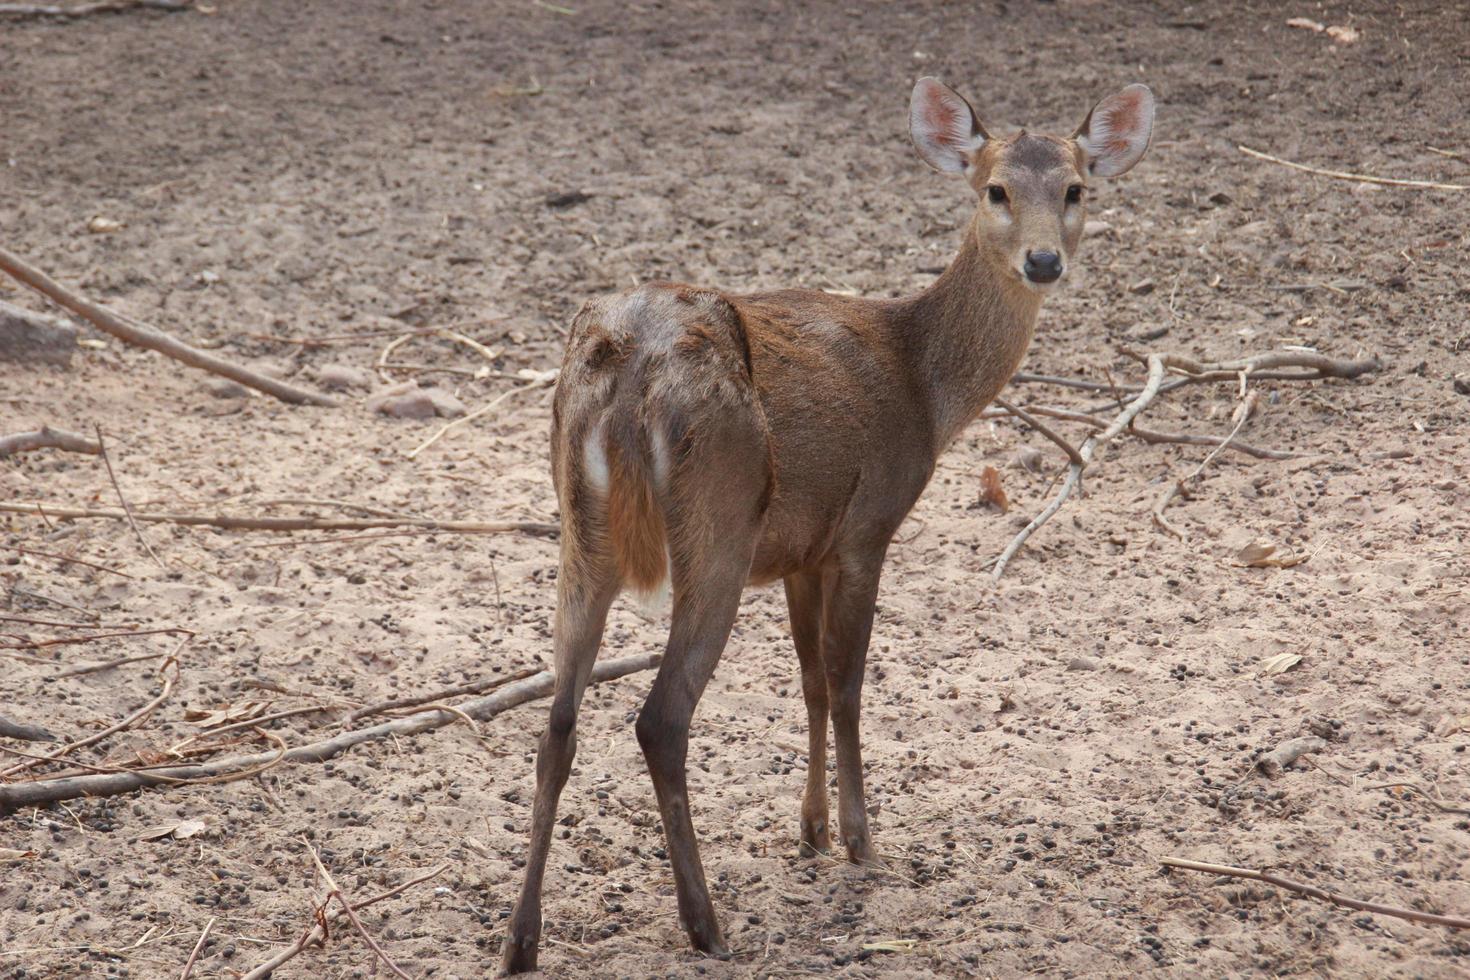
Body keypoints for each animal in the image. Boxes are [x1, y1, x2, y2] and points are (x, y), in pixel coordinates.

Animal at [499, 74, 1152, 975]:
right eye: (995, 189)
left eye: (1076, 188)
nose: (1044, 260)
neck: (924, 388)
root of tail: (631, 375)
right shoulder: (865, 527)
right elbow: (846, 683)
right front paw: (858, 838)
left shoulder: (800, 550)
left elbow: (807, 679)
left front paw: (807, 830)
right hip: (719, 525)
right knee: (661, 718)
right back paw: (707, 925)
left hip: (579, 528)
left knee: (557, 721)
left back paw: (521, 941)